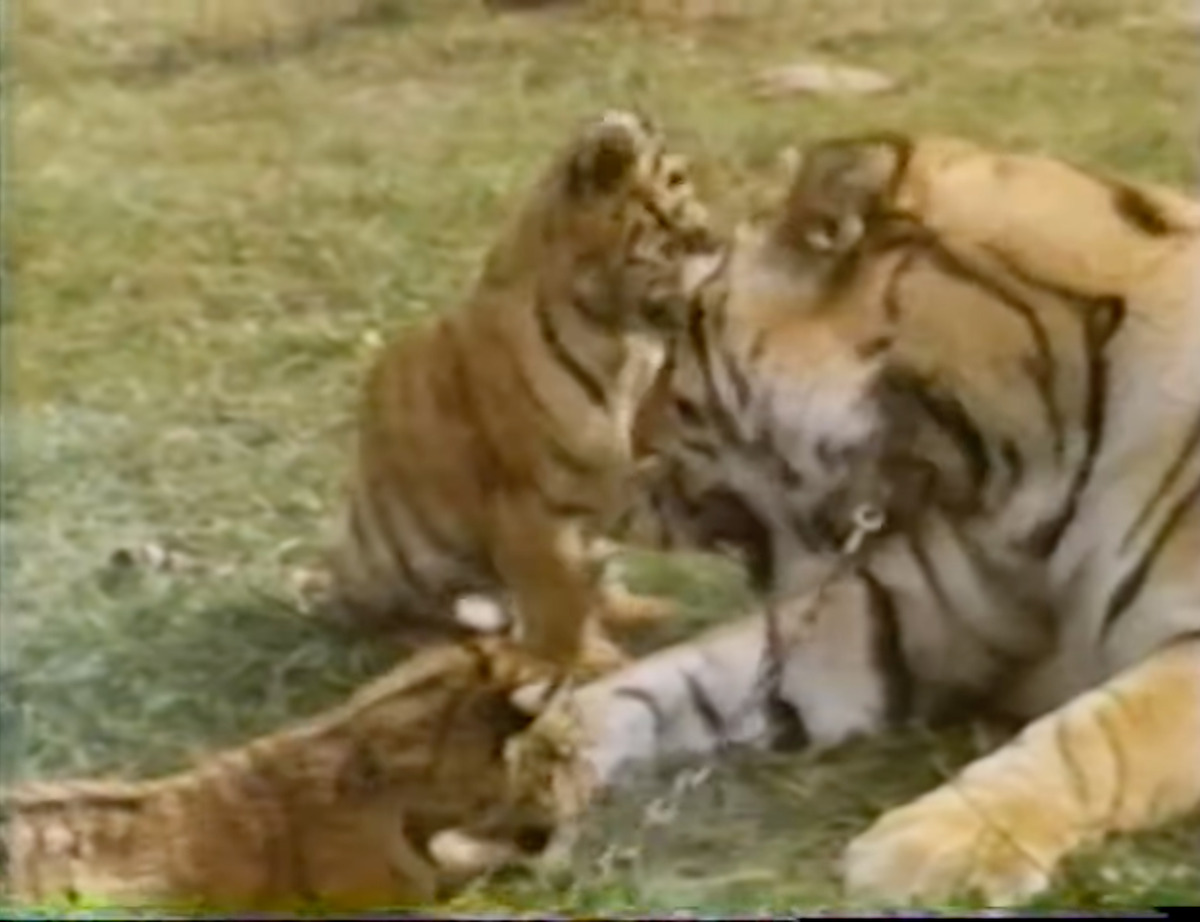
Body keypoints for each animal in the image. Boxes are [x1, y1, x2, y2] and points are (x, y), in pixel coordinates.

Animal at [311, 109, 728, 679]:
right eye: (680, 225)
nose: (720, 246)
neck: (621, 340)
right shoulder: (530, 504)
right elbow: (560, 597)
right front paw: (581, 662)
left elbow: (594, 572)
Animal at [491, 131, 1200, 907]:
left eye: (683, 340)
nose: (626, 456)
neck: (1006, 472)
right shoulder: (901, 615)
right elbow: (684, 675)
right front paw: (529, 740)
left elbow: (1098, 732)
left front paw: (934, 847)